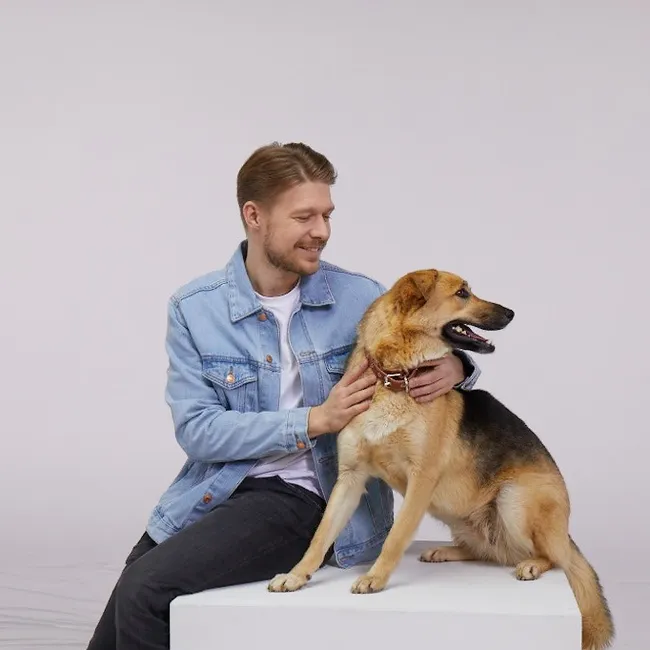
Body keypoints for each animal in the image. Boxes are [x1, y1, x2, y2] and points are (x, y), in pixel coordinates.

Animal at [267, 269, 614, 650]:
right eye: (462, 293)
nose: (511, 313)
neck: (394, 378)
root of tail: (565, 531)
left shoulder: (421, 479)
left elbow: (396, 536)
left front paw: (375, 578)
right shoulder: (350, 478)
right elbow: (321, 536)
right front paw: (296, 576)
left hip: (514, 501)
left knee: (552, 556)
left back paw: (533, 565)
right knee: (490, 550)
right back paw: (446, 551)